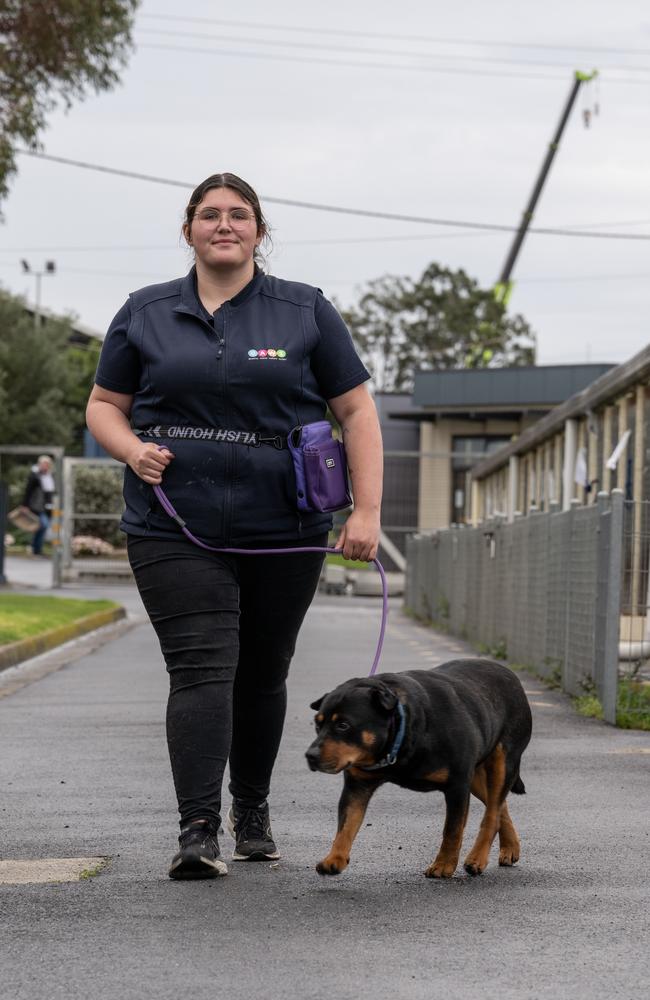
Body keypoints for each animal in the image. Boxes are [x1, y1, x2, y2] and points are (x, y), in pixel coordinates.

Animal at [306, 660, 528, 880]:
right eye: (317, 725)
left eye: (343, 725)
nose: (310, 755)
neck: (402, 729)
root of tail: (509, 673)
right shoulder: (357, 786)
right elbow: (346, 825)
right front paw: (335, 858)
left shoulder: (457, 785)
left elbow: (452, 830)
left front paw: (444, 864)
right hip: (475, 778)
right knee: (498, 805)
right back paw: (510, 848)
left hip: (502, 763)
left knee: (492, 812)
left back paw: (477, 858)